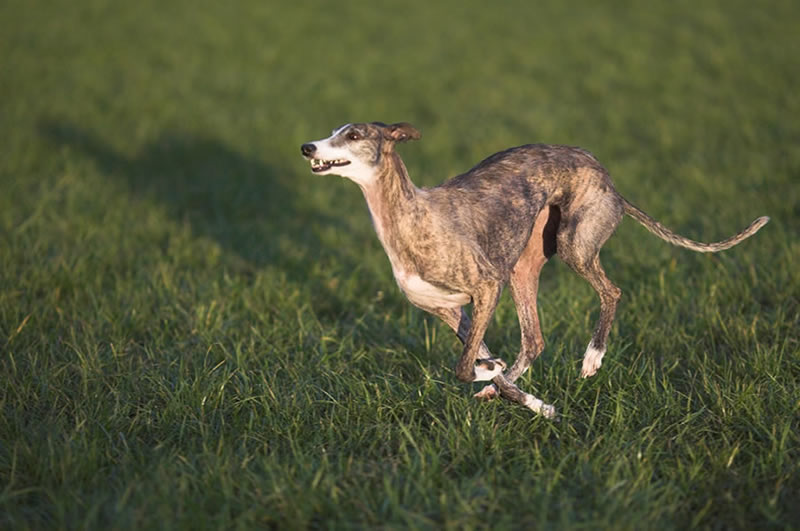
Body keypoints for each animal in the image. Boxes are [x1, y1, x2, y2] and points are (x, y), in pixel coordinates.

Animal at [300, 122, 768, 418]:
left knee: (611, 292)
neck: (410, 215)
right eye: (334, 130)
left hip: (573, 244)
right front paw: (526, 398)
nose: (307, 147)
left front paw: (493, 375)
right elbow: (478, 357)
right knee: (536, 339)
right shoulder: (453, 310)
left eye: (354, 135)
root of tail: (612, 183)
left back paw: (592, 358)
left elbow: (463, 365)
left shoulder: (486, 286)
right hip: (523, 269)